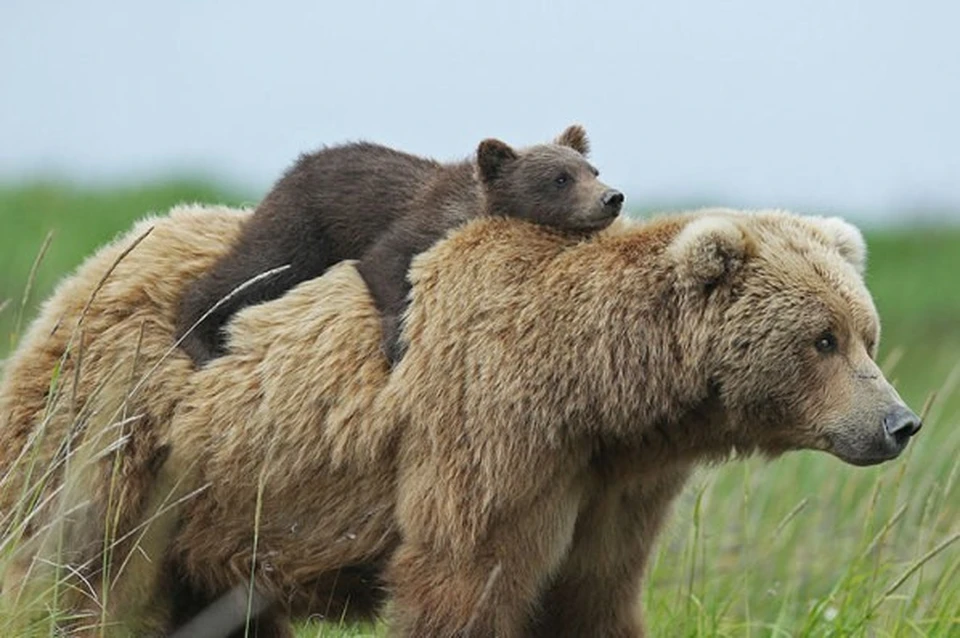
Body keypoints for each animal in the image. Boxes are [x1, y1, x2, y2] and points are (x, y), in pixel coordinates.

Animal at [0, 208, 916, 636]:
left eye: (866, 332)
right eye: (822, 338)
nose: (899, 422)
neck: (598, 395)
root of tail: (96, 264)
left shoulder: (613, 486)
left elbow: (591, 595)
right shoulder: (492, 431)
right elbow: (463, 577)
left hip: (214, 505)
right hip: (116, 434)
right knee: (69, 572)